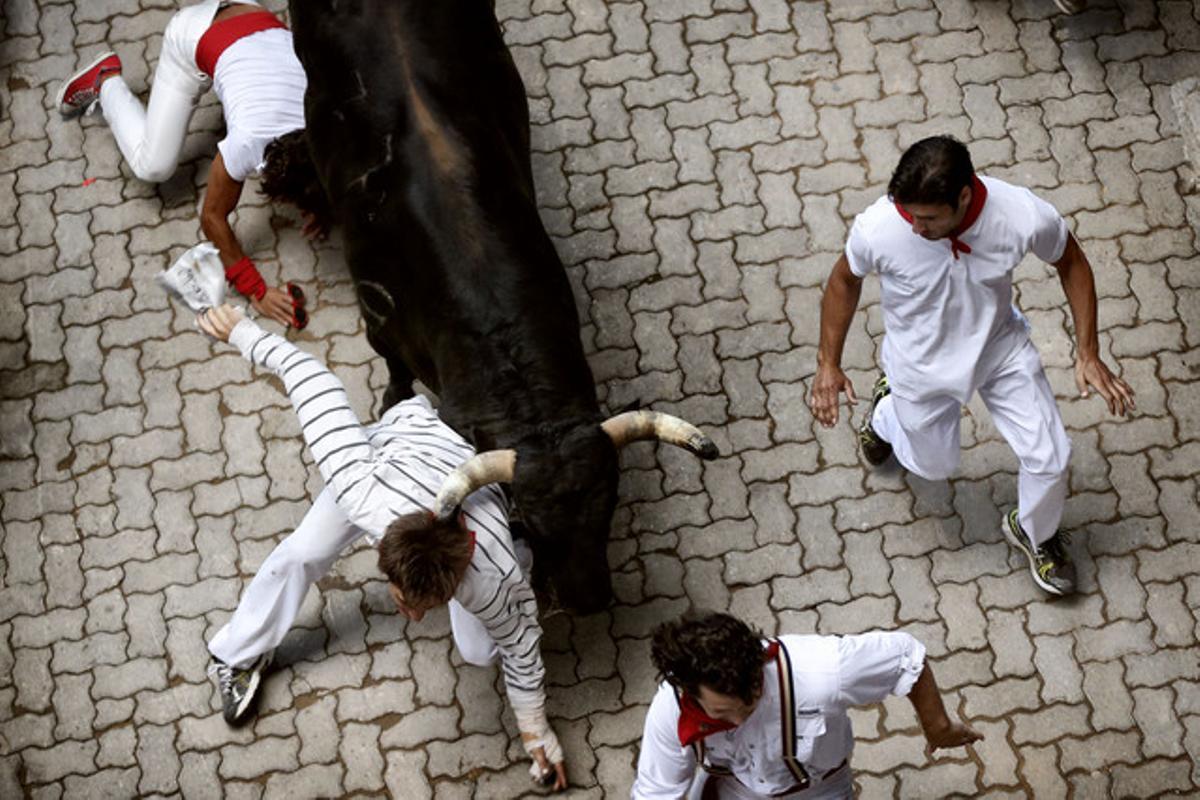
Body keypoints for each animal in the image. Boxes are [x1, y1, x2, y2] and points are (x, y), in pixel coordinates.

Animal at [289, 0, 710, 614]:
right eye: (526, 522)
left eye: (609, 509)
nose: (589, 600)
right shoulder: (378, 316)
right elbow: (393, 368)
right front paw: (393, 398)